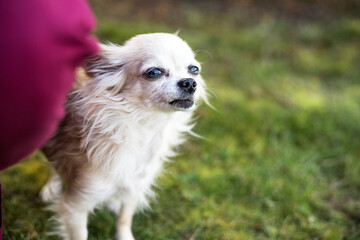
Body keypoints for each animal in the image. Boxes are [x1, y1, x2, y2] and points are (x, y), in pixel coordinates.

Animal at [40, 32, 207, 240]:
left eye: (194, 70)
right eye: (154, 72)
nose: (190, 82)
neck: (144, 129)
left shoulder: (135, 186)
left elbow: (124, 219)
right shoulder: (76, 205)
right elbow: (81, 234)